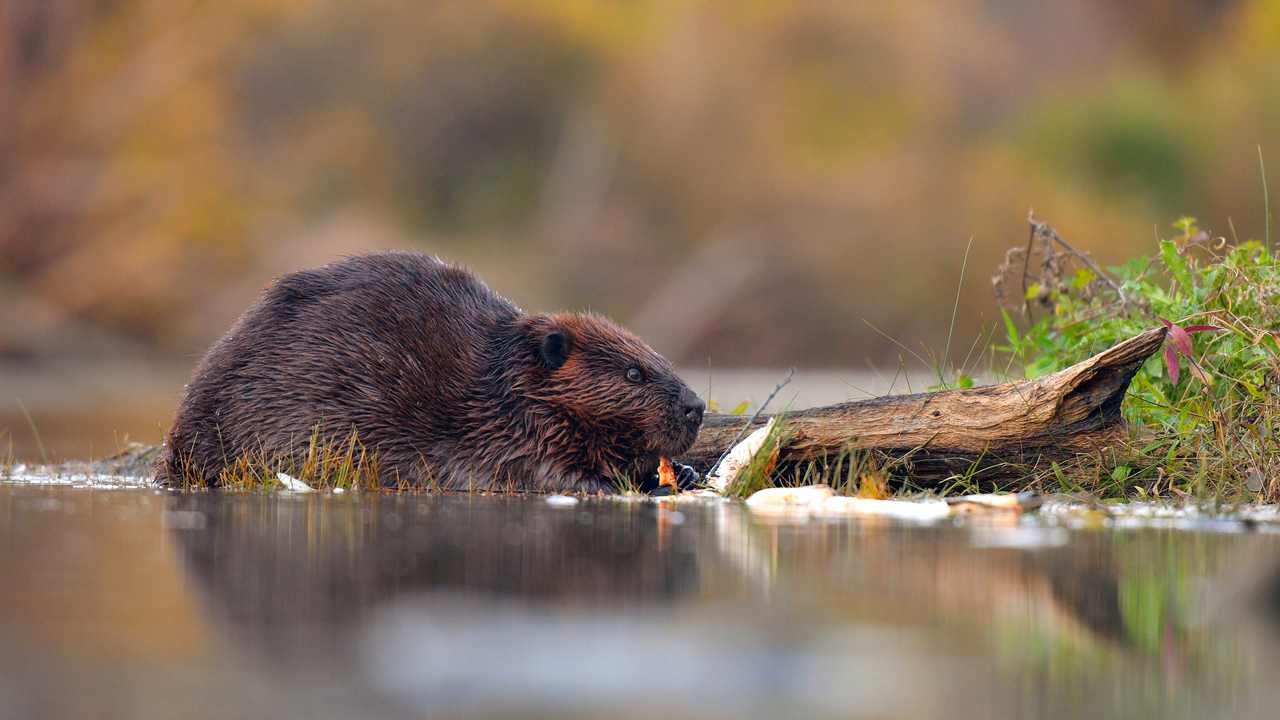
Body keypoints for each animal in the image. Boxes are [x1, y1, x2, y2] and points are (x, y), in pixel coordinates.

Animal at [157, 249, 711, 489]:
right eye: (634, 374)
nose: (697, 407)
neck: (502, 382)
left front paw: (680, 472)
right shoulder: (509, 433)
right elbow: (548, 473)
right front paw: (626, 483)